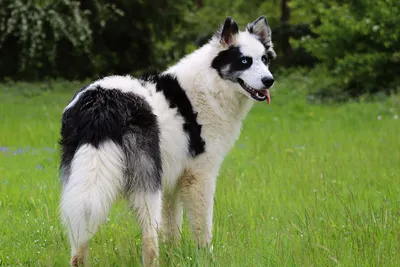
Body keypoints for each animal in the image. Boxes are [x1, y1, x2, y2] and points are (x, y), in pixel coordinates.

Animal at [59, 15, 276, 266]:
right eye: (244, 61)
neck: (210, 84)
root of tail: (101, 102)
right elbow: (203, 228)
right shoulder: (199, 177)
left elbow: (172, 231)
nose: (269, 80)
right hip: (146, 186)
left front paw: (176, 256)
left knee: (79, 240)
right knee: (149, 240)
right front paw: (206, 257)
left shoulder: (171, 183)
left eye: (264, 59)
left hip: (81, 184)